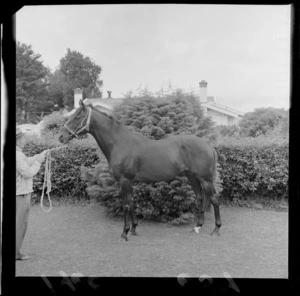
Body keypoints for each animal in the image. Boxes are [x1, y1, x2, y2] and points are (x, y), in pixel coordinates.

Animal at [59, 99, 220, 240]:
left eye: (78, 116)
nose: (61, 136)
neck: (120, 143)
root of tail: (208, 145)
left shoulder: (125, 180)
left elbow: (126, 204)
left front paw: (124, 233)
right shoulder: (129, 182)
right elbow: (131, 202)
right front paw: (134, 229)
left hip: (205, 179)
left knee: (214, 199)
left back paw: (216, 230)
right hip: (192, 177)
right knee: (200, 197)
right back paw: (197, 226)